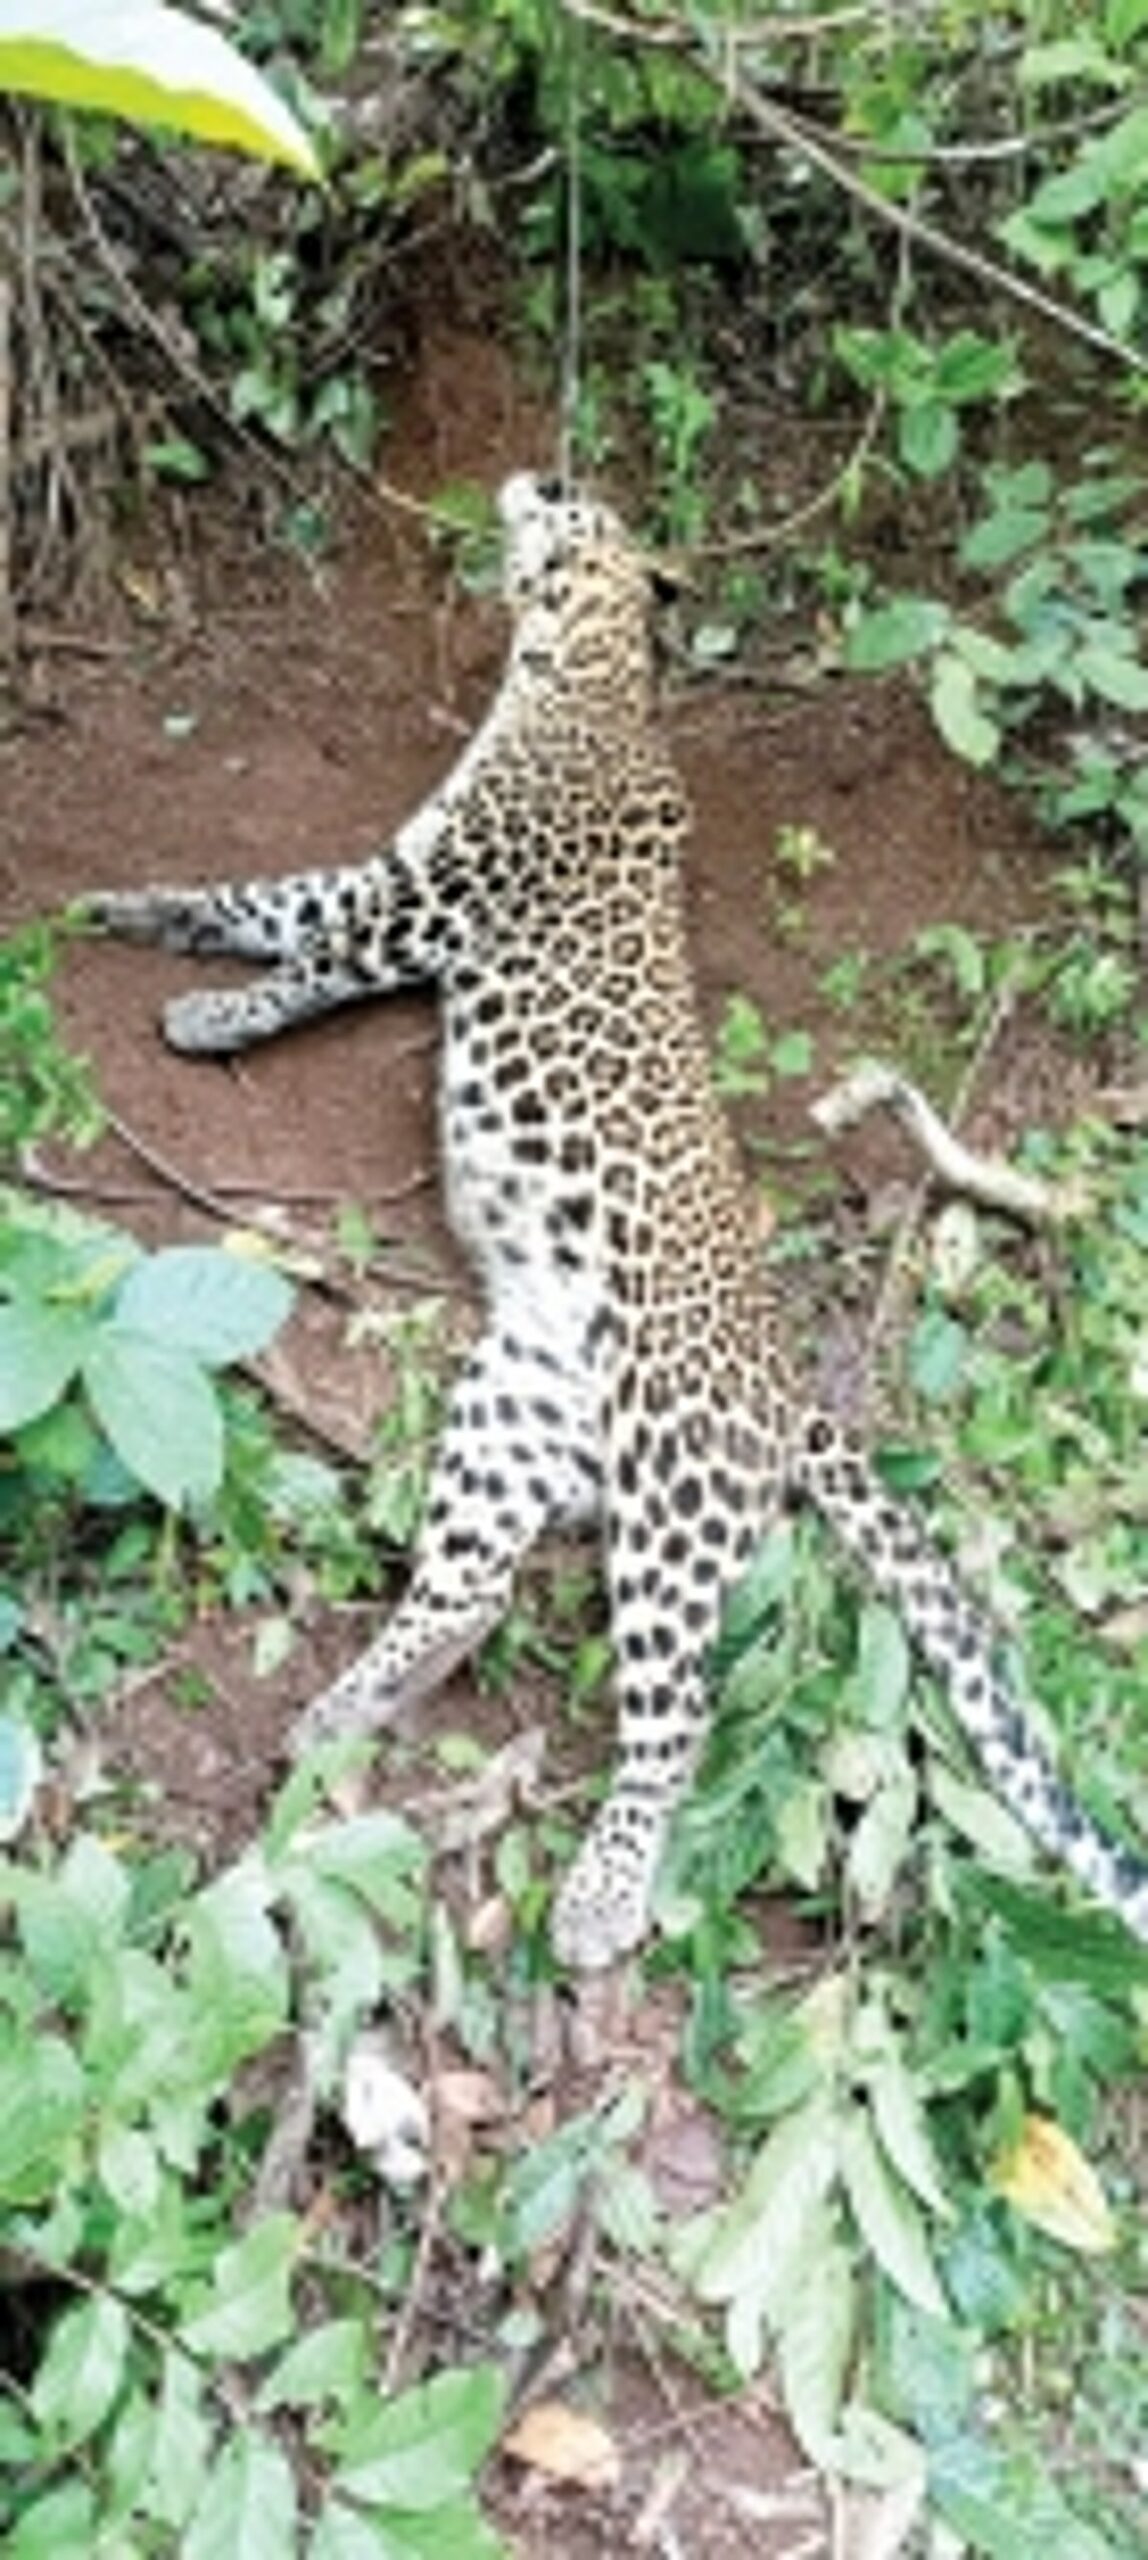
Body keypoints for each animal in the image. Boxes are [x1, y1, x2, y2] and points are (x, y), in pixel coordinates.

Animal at [86, 470, 1148, 1969]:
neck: (569, 670)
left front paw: (211, 1016)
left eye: (576, 498)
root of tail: (788, 1393)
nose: (532, 473)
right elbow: (252, 899)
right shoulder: (381, 873)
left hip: (673, 1479)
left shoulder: (422, 903)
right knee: (470, 1590)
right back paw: (349, 1705)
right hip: (510, 1409)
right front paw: (133, 908)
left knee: (675, 1709)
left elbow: (307, 960)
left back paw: (596, 1896)